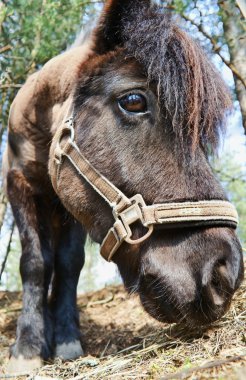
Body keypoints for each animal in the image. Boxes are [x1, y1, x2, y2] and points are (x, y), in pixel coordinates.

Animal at [1, 0, 244, 374]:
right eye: (133, 100)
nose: (223, 274)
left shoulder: (72, 206)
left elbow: (69, 264)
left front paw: (67, 339)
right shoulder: (20, 183)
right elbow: (34, 262)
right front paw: (27, 347)